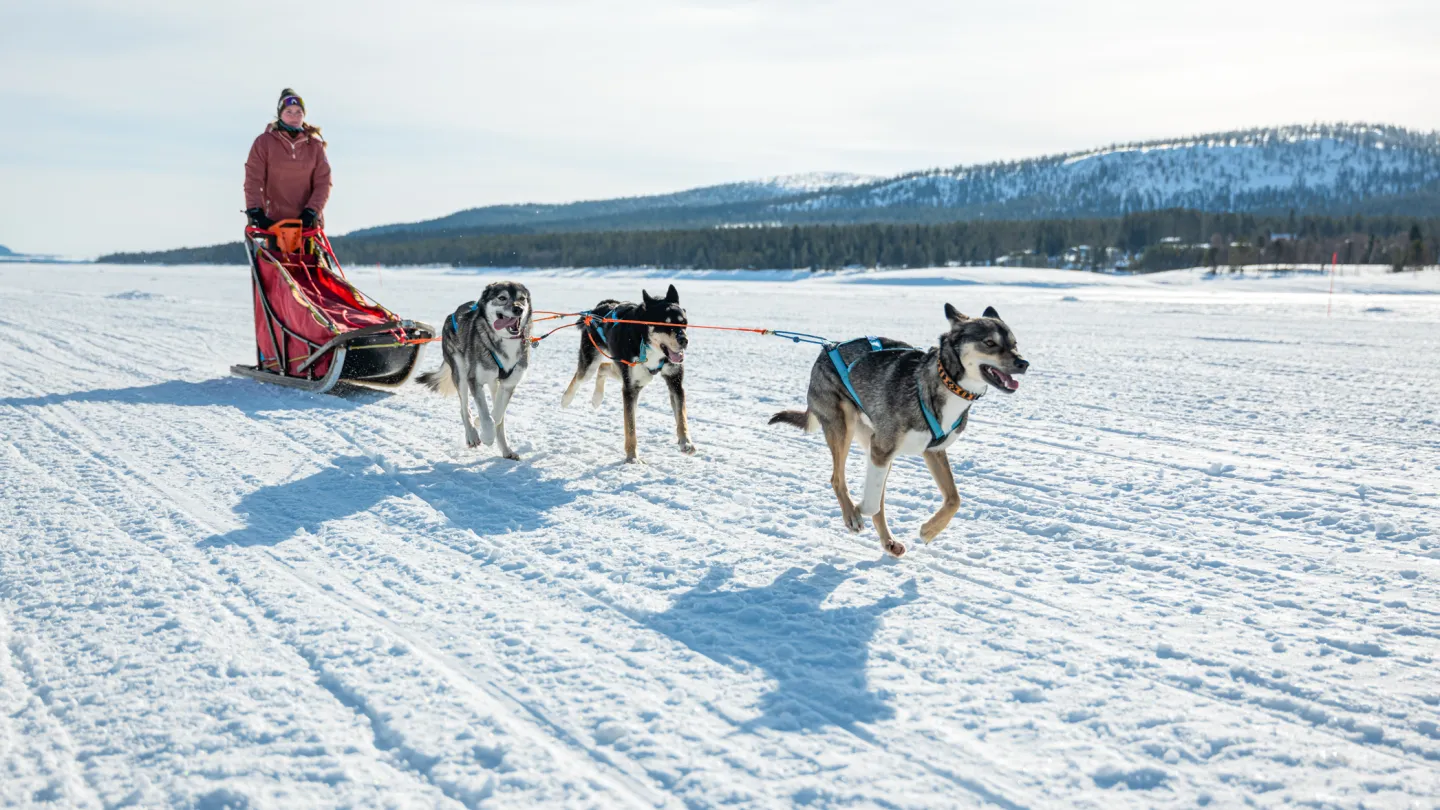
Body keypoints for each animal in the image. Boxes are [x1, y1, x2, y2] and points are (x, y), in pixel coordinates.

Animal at [417, 279, 535, 458]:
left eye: (522, 298)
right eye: (502, 298)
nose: (518, 309)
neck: (505, 341)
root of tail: (452, 314)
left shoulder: (509, 384)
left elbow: (497, 415)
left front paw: (488, 427)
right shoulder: (475, 381)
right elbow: (486, 416)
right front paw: (486, 435)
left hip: (494, 383)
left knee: (497, 416)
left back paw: (506, 449)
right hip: (461, 375)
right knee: (464, 408)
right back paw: (472, 435)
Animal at [558, 283, 694, 461]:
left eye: (684, 323)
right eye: (665, 324)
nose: (684, 340)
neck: (646, 343)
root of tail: (601, 306)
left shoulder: (675, 382)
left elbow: (681, 415)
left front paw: (686, 442)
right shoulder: (630, 389)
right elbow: (630, 426)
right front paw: (632, 457)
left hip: (628, 371)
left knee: (603, 368)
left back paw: (597, 397)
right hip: (592, 365)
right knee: (580, 376)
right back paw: (567, 399)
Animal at [771, 302, 1031, 553]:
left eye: (1015, 343)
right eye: (990, 343)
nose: (1023, 363)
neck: (943, 384)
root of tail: (826, 349)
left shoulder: (932, 451)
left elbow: (954, 499)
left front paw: (929, 530)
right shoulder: (881, 449)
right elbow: (871, 502)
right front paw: (859, 509)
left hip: (876, 447)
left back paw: (888, 542)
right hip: (845, 428)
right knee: (837, 479)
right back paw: (852, 515)